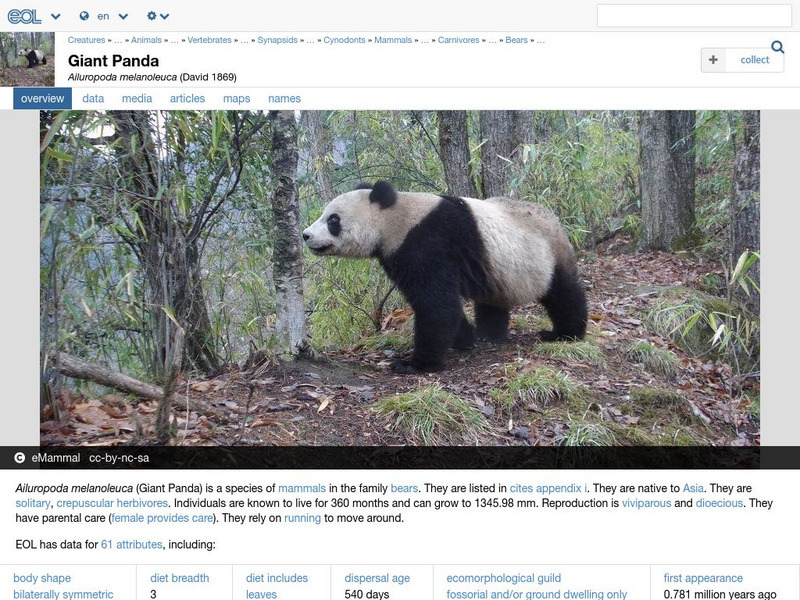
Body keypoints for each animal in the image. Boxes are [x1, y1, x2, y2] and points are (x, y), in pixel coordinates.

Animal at [303, 180, 588, 374]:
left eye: (333, 220)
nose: (306, 235)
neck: (394, 218)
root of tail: (554, 219)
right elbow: (439, 304)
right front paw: (465, 339)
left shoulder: (427, 242)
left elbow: (437, 304)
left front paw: (415, 364)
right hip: (498, 268)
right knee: (493, 300)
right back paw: (488, 334)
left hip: (546, 255)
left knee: (564, 292)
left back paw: (565, 333)